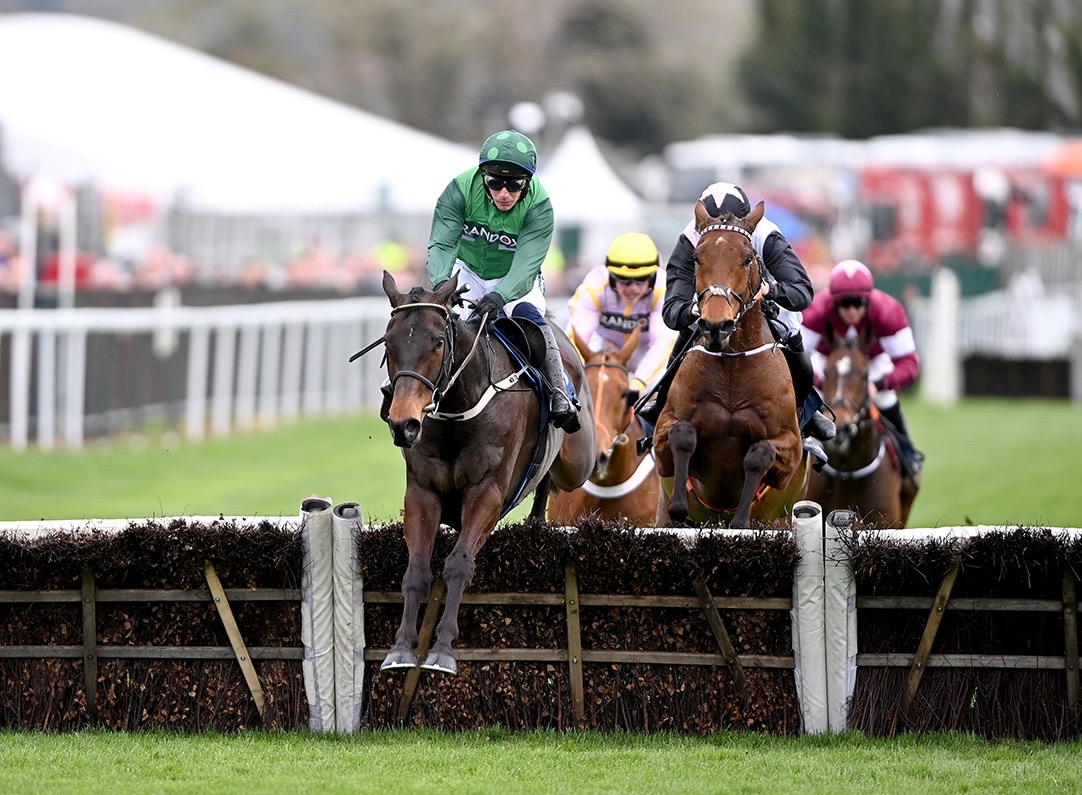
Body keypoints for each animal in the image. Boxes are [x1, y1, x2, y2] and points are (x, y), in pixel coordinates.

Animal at [378, 270, 601, 674]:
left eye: (438, 342)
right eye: (389, 342)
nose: (404, 423)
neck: (458, 409)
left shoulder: (487, 493)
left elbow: (458, 565)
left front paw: (442, 650)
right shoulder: (422, 493)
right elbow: (416, 571)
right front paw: (401, 648)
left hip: (579, 459)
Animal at [644, 200, 809, 527]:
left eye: (747, 258)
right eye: (697, 257)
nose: (716, 326)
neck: (733, 366)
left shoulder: (789, 450)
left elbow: (759, 453)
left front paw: (740, 520)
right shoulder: (664, 432)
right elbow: (682, 434)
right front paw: (681, 505)